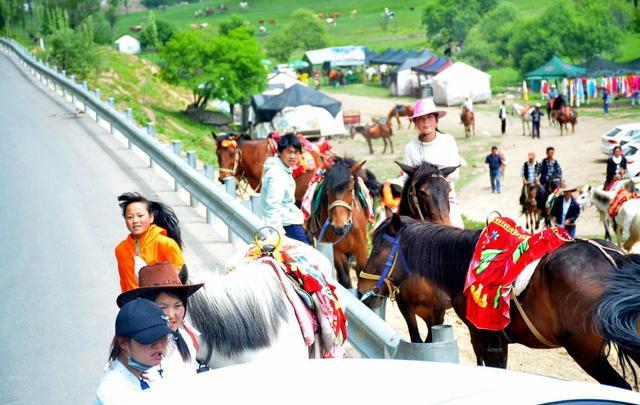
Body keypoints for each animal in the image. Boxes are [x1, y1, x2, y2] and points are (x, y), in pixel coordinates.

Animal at [306, 157, 372, 288]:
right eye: (327, 190)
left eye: (350, 189)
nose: (338, 226)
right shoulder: (335, 249)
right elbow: (345, 279)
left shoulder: (362, 247)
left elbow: (361, 275)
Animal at [362, 213, 636, 390]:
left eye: (377, 249)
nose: (361, 286)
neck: (466, 265)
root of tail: (614, 261)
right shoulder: (485, 338)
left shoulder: (488, 339)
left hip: (586, 353)